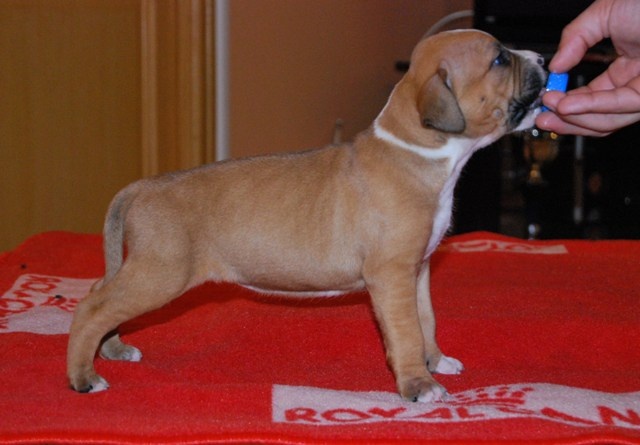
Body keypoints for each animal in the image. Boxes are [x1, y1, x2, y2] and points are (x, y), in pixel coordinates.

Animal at [67, 30, 546, 402]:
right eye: (500, 58)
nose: (543, 58)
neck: (417, 150)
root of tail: (143, 187)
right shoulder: (391, 275)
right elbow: (406, 330)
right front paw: (418, 385)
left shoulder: (418, 269)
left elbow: (425, 320)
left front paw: (436, 360)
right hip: (160, 273)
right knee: (91, 307)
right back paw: (84, 377)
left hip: (144, 271)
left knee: (98, 292)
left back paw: (113, 350)